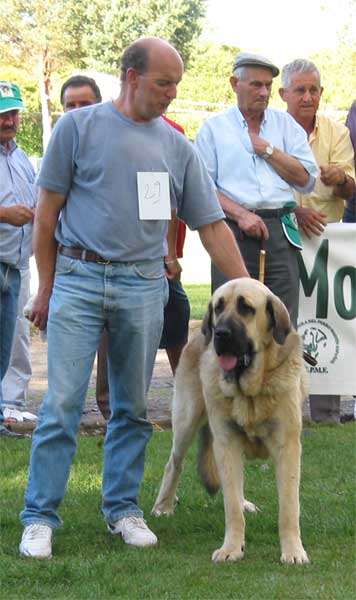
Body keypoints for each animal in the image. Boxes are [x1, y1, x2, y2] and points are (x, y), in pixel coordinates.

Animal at [152, 278, 308, 564]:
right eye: (218, 307)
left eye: (246, 307)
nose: (221, 334)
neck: (251, 389)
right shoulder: (227, 444)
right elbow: (231, 507)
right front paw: (232, 548)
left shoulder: (288, 447)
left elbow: (289, 507)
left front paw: (293, 550)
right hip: (187, 419)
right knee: (174, 463)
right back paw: (163, 505)